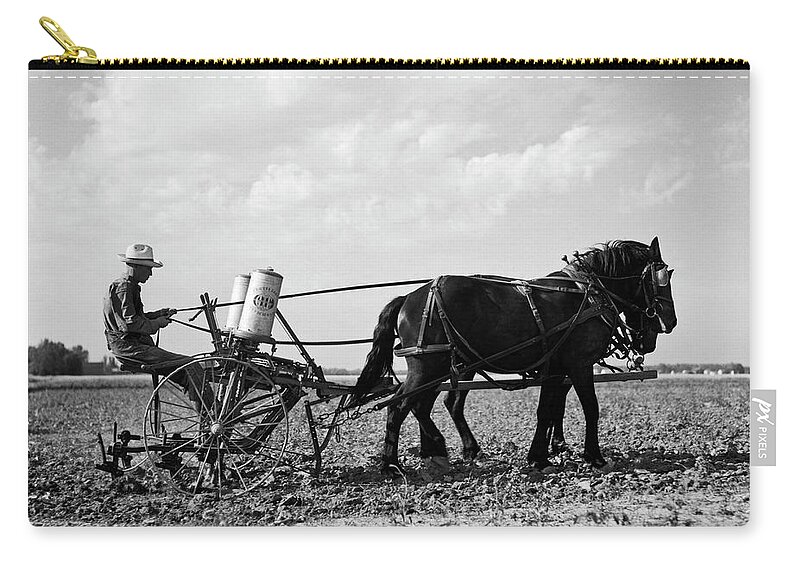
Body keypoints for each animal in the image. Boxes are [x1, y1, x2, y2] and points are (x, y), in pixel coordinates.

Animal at [354, 235, 676, 474]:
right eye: (664, 278)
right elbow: (590, 408)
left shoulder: (555, 369)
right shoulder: (579, 364)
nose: (670, 322)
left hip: (441, 366)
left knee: (424, 405)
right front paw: (594, 457)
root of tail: (408, 298)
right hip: (427, 366)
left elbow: (547, 411)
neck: (588, 293)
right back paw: (391, 464)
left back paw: (440, 452)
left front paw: (540, 457)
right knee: (400, 407)